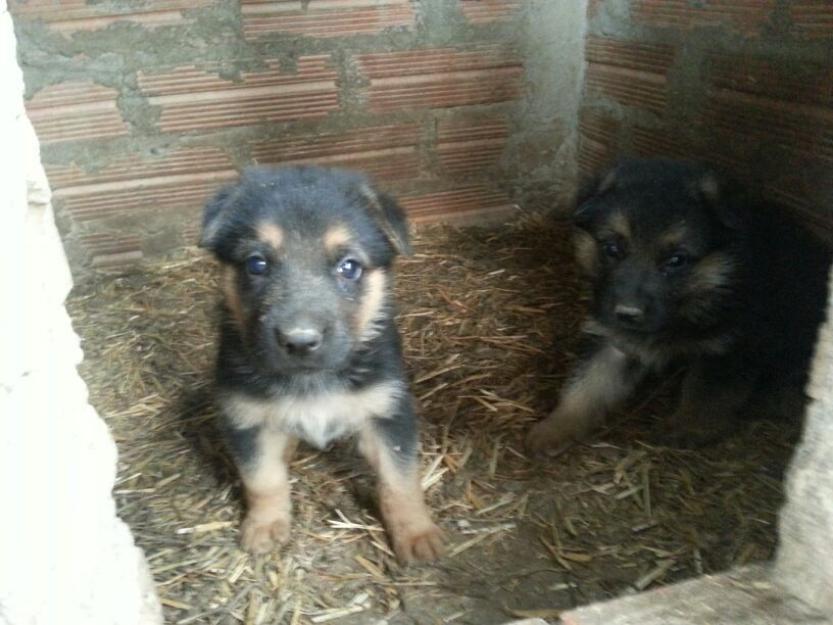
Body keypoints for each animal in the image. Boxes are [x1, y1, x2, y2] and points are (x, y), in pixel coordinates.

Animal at [199, 165, 446, 560]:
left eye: (350, 267)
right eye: (257, 264)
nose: (300, 341)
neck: (311, 378)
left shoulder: (388, 414)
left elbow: (400, 481)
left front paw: (416, 533)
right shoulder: (246, 420)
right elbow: (262, 479)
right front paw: (265, 525)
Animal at [528, 158, 832, 450]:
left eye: (677, 260)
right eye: (611, 248)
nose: (627, 313)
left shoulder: (728, 350)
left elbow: (705, 395)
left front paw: (687, 428)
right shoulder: (612, 341)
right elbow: (586, 385)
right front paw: (555, 427)